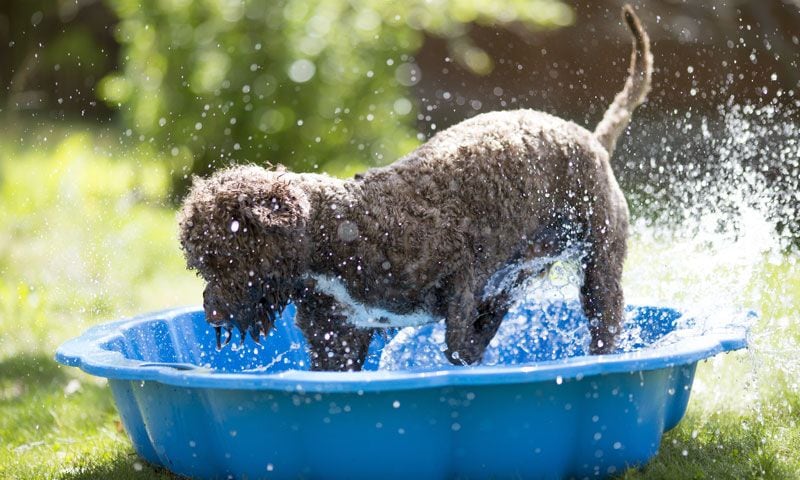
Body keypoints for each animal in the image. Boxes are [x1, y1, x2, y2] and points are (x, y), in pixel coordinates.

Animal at [178, 4, 652, 372]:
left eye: (225, 257)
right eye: (199, 266)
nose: (210, 311)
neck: (336, 232)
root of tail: (592, 139)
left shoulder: (463, 279)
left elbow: (463, 345)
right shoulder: (337, 337)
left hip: (600, 266)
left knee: (603, 321)